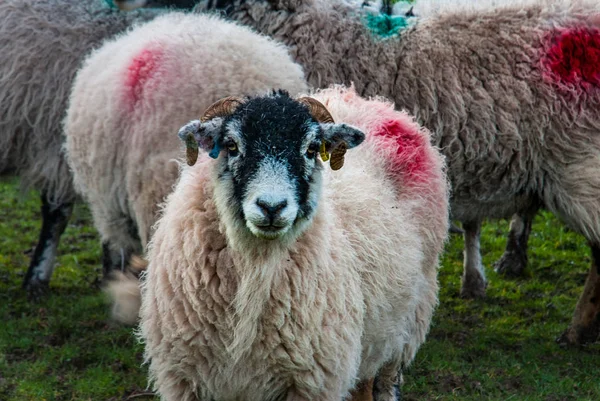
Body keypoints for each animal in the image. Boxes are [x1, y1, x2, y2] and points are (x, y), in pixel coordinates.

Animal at [135, 86, 446, 400]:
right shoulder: (184, 380)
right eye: (232, 145)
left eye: (311, 149)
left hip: (407, 327)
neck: (255, 265)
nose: (271, 206)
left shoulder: (313, 382)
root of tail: (365, 100)